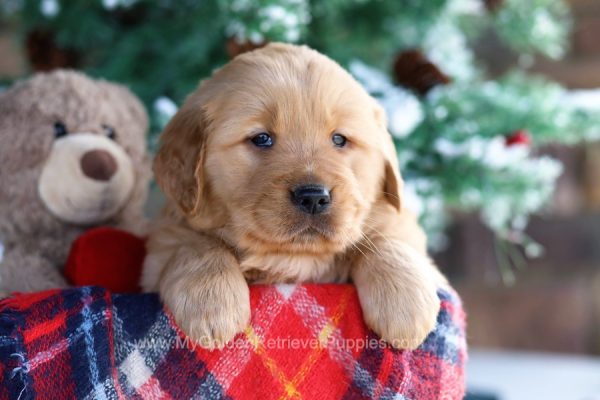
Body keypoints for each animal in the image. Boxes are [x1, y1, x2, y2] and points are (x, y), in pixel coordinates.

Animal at [143, 43, 448, 350]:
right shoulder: (164, 240)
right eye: (261, 138)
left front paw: (405, 306)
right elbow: (197, 243)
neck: (292, 257)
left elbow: (387, 240)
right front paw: (212, 302)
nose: (313, 197)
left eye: (339, 139)